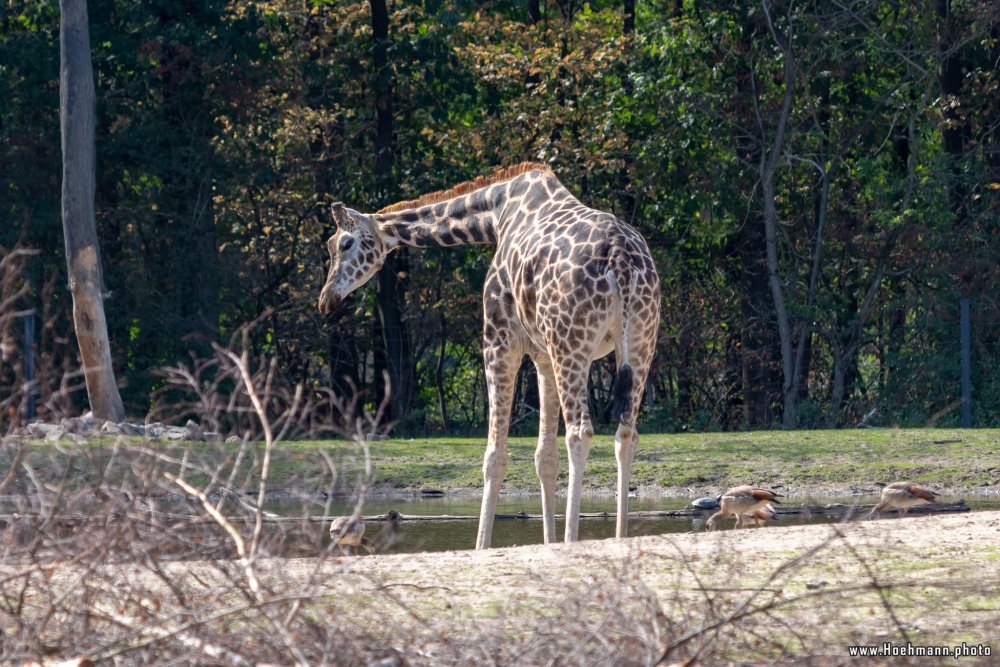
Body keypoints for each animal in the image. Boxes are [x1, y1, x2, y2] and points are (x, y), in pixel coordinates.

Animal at [320, 163, 660, 548]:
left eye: (344, 243)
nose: (326, 299)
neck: (496, 212)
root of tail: (622, 261)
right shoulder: (542, 355)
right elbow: (544, 457)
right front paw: (548, 541)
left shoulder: (499, 340)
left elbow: (494, 456)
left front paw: (482, 544)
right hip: (639, 343)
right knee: (626, 434)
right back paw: (620, 537)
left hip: (571, 343)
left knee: (580, 432)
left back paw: (574, 539)